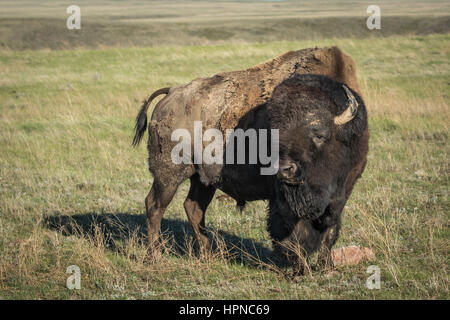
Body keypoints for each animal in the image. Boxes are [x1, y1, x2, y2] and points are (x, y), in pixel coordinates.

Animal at [131, 46, 370, 274]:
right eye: (274, 134)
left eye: (319, 134)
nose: (285, 170)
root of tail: (171, 93)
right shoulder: (285, 201)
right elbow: (295, 236)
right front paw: (300, 270)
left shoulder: (341, 195)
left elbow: (329, 232)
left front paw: (326, 267)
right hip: (168, 176)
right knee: (154, 206)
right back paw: (155, 256)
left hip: (203, 180)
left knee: (193, 209)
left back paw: (209, 255)